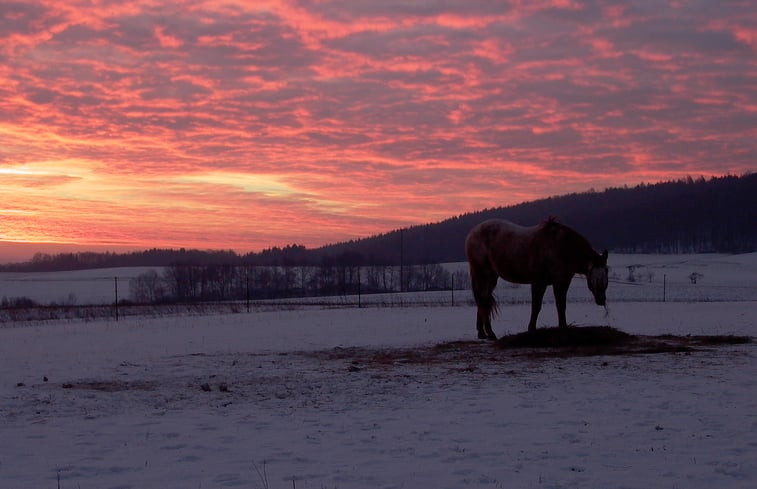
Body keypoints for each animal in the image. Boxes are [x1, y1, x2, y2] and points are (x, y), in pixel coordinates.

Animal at [464, 217, 604, 340]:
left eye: (605, 275)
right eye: (594, 278)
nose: (602, 300)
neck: (558, 247)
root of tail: (472, 233)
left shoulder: (561, 282)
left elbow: (561, 306)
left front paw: (563, 328)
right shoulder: (538, 283)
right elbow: (536, 307)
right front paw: (531, 329)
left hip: (492, 277)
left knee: (484, 301)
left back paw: (482, 333)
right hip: (482, 274)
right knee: (483, 300)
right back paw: (490, 334)